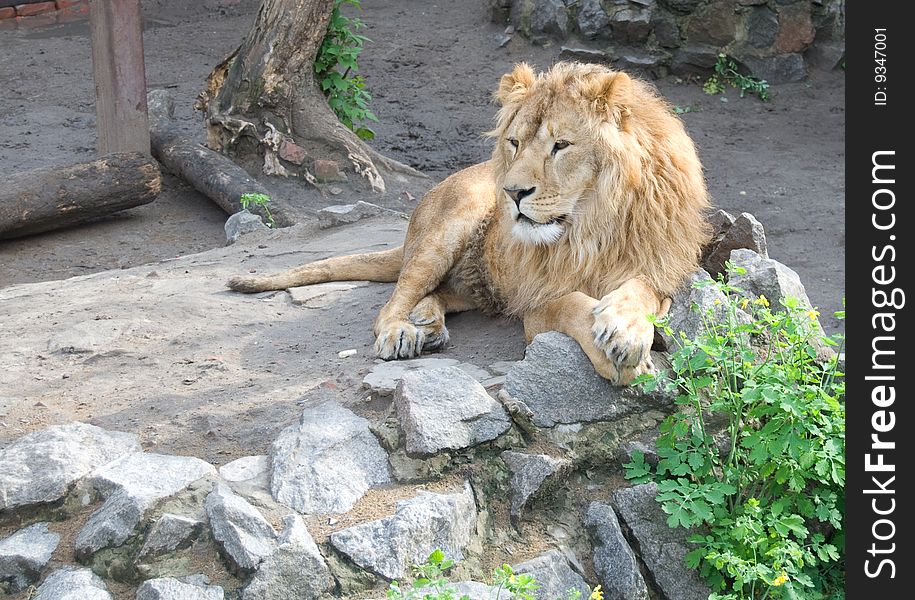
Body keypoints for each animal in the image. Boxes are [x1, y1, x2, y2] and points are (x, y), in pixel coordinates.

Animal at [225, 62, 712, 384]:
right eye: (514, 142)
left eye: (561, 145)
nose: (512, 193)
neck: (591, 225)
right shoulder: (536, 306)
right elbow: (571, 303)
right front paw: (619, 355)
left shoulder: (659, 266)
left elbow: (641, 290)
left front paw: (626, 331)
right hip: (450, 227)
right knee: (396, 297)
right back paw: (404, 330)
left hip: (478, 280)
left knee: (441, 293)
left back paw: (429, 323)